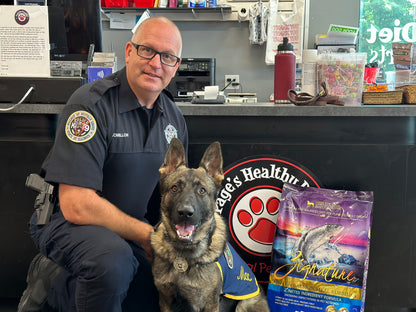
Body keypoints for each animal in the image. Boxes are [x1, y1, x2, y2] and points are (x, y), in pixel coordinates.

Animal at [150, 139, 270, 312]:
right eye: (174, 188)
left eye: (202, 191)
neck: (183, 255)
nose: (185, 212)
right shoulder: (165, 300)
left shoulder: (209, 303)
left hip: (244, 304)